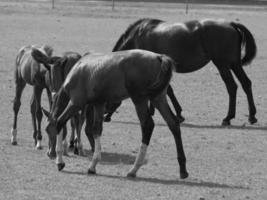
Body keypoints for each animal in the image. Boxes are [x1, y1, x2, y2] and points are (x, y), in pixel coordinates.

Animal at [42, 49, 189, 178]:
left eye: (48, 130)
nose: (50, 153)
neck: (78, 71)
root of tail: (158, 57)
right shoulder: (99, 104)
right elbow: (96, 129)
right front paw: (93, 165)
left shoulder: (76, 103)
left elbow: (60, 122)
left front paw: (60, 161)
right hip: (158, 98)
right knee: (173, 124)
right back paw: (183, 170)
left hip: (140, 99)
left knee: (147, 125)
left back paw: (134, 169)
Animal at [106, 18, 258, 126]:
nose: (105, 116)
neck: (137, 37)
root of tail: (231, 24)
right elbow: (166, 91)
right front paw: (161, 111)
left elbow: (167, 91)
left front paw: (176, 115)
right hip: (234, 64)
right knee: (246, 83)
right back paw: (252, 116)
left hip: (222, 64)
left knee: (232, 86)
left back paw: (228, 118)